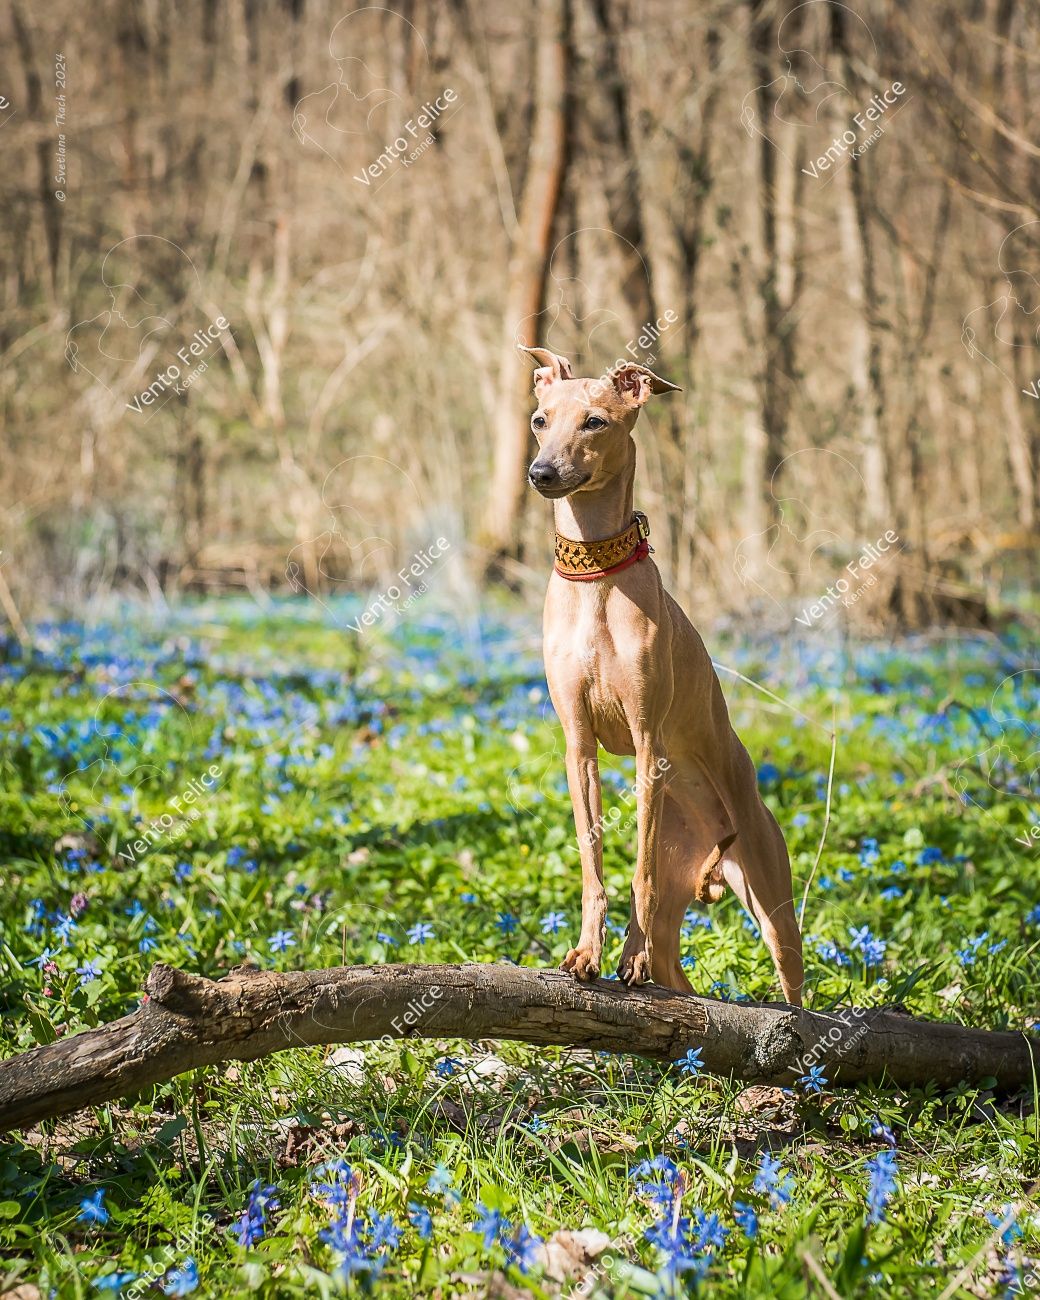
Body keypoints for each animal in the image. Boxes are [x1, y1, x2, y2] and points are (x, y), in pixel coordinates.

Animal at [525, 345, 806, 1003]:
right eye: (540, 420)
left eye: (595, 422)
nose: (541, 473)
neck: (595, 579)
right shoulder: (579, 746)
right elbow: (594, 861)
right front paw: (587, 952)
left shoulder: (649, 743)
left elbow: (640, 872)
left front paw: (620, 953)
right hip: (690, 894)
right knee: (672, 959)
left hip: (772, 902)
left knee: (793, 987)